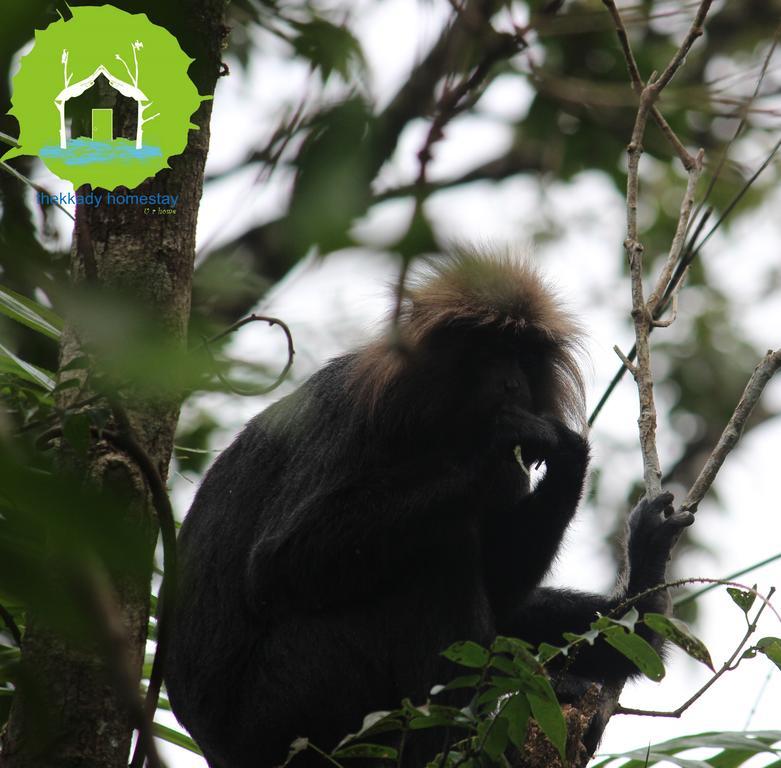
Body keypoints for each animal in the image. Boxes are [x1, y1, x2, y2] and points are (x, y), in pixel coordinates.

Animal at [166, 252, 696, 768]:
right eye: (488, 352)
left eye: (523, 358)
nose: (512, 384)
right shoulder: (349, 419)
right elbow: (276, 565)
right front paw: (494, 446)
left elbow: (503, 588)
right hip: (288, 704)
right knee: (435, 558)